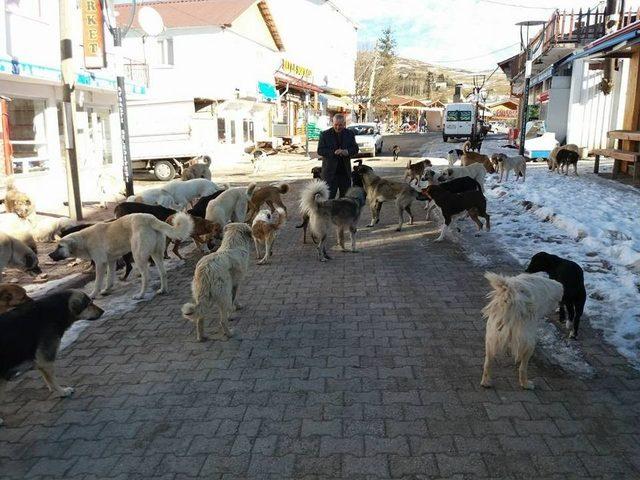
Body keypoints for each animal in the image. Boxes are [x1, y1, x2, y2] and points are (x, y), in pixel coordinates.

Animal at [0, 288, 104, 424]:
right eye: (89, 304)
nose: (103, 311)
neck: (55, 310)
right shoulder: (46, 359)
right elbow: (53, 379)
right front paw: (62, 392)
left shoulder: (40, 360)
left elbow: (46, 377)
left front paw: (52, 388)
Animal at [50, 213, 192, 298]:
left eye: (60, 247)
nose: (50, 255)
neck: (84, 240)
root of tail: (150, 219)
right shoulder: (111, 262)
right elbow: (110, 279)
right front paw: (107, 290)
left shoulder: (100, 264)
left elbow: (97, 282)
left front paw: (92, 295)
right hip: (156, 254)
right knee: (163, 273)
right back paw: (163, 290)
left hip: (138, 256)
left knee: (146, 277)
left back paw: (140, 295)